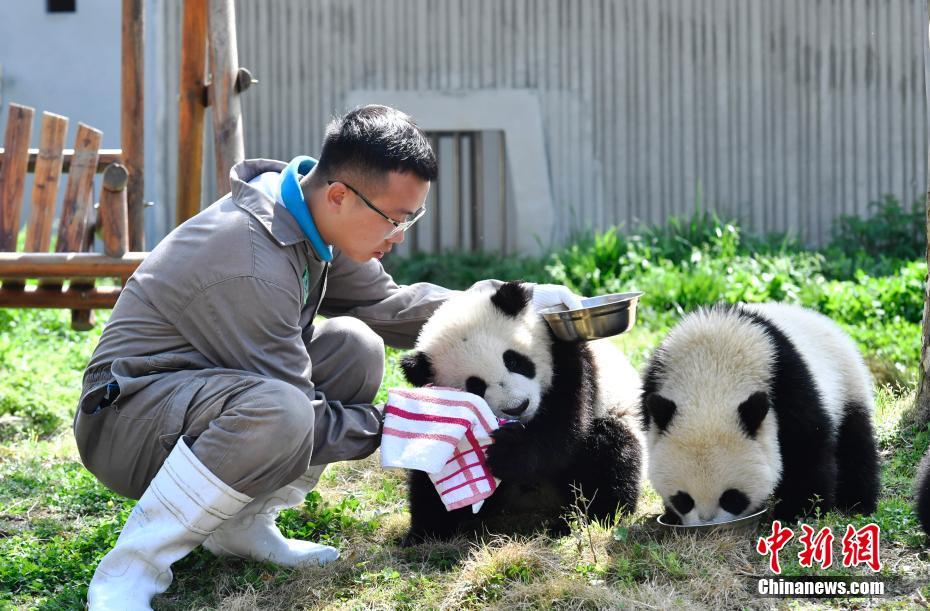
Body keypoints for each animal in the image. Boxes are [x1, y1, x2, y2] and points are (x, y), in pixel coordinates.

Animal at [398, 280, 644, 540]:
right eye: (475, 386)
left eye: (513, 361)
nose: (518, 407)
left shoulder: (566, 354)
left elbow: (564, 427)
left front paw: (508, 453)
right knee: (429, 481)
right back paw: (425, 532)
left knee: (612, 451)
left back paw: (590, 517)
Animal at [640, 302, 876, 524]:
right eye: (684, 499)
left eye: (731, 498)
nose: (708, 523)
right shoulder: (654, 386)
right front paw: (671, 515)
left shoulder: (787, 386)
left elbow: (805, 449)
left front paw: (799, 512)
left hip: (847, 382)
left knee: (855, 443)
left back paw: (856, 503)